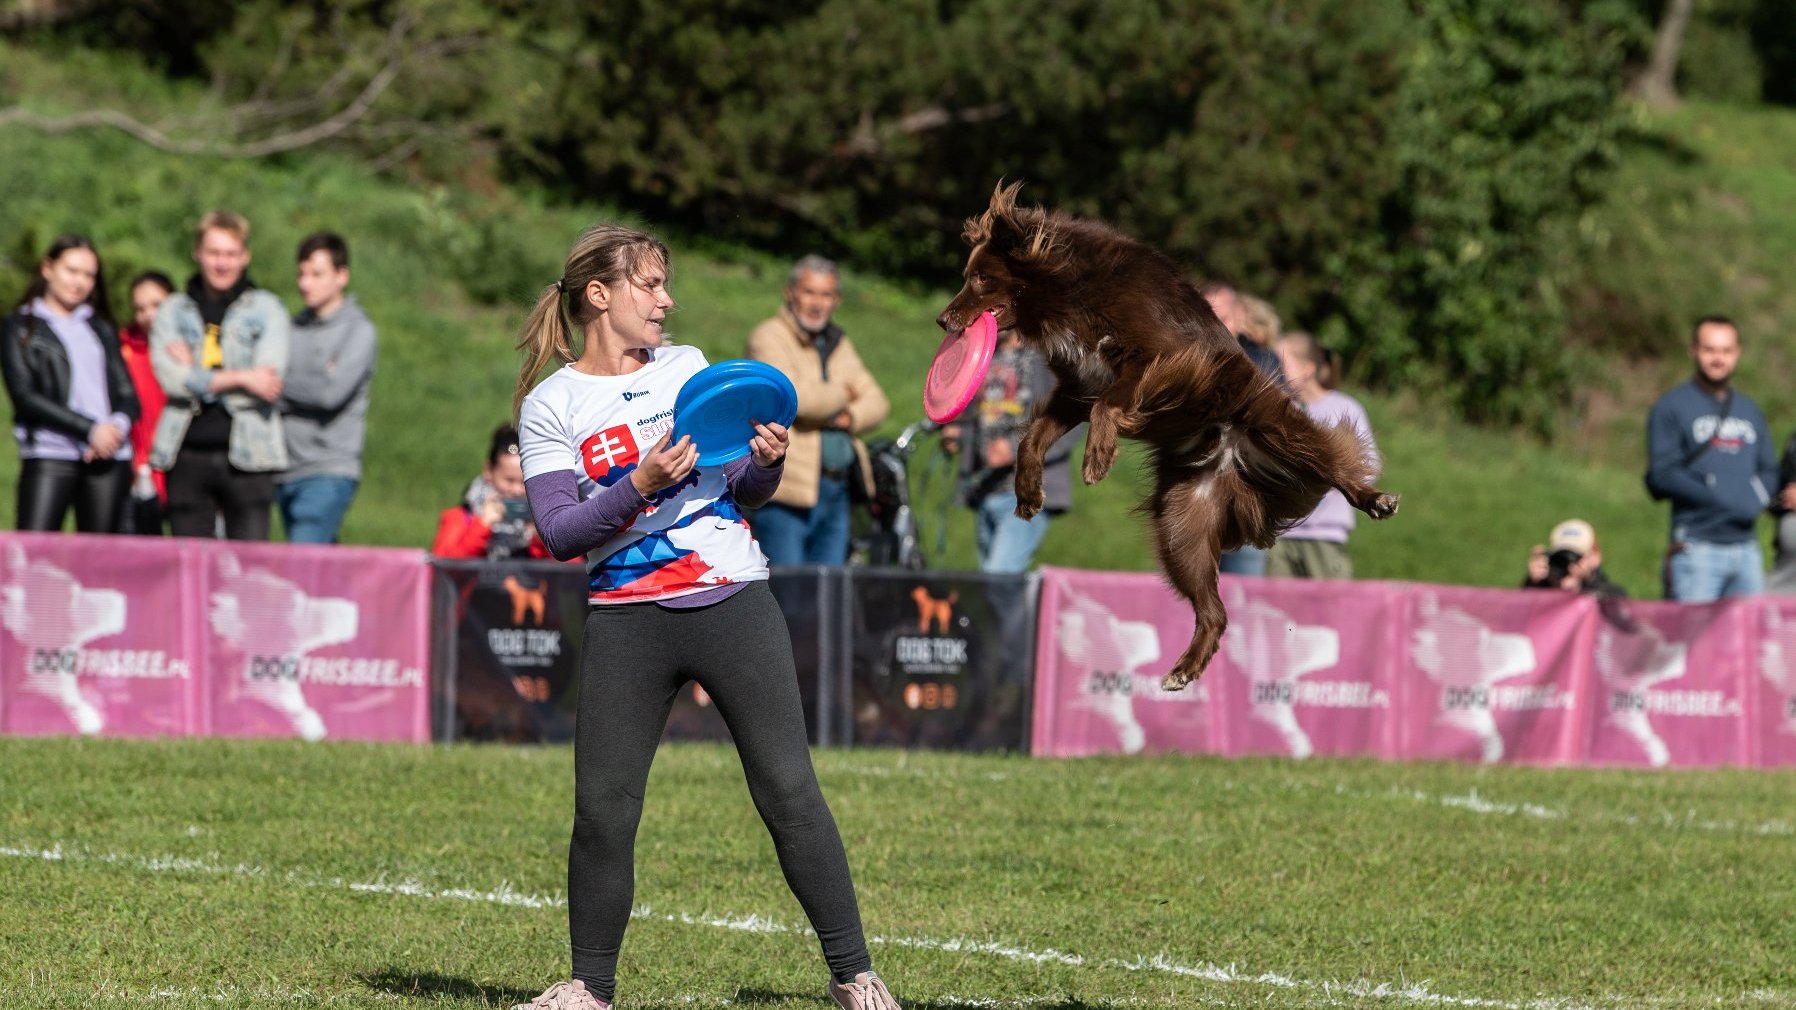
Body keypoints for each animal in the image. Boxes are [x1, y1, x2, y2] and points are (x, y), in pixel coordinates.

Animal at [941, 180, 1400, 686]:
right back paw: (1184, 670)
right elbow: (1035, 435)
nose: (942, 320)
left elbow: (1108, 403)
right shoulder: (1078, 384)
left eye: (982, 278)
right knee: (1214, 610)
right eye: (968, 274)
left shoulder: (1158, 357)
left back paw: (1374, 499)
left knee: (1333, 462)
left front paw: (1097, 457)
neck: (1070, 289)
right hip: (1182, 527)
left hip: (1277, 430)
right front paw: (1027, 492)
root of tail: (1230, 462)